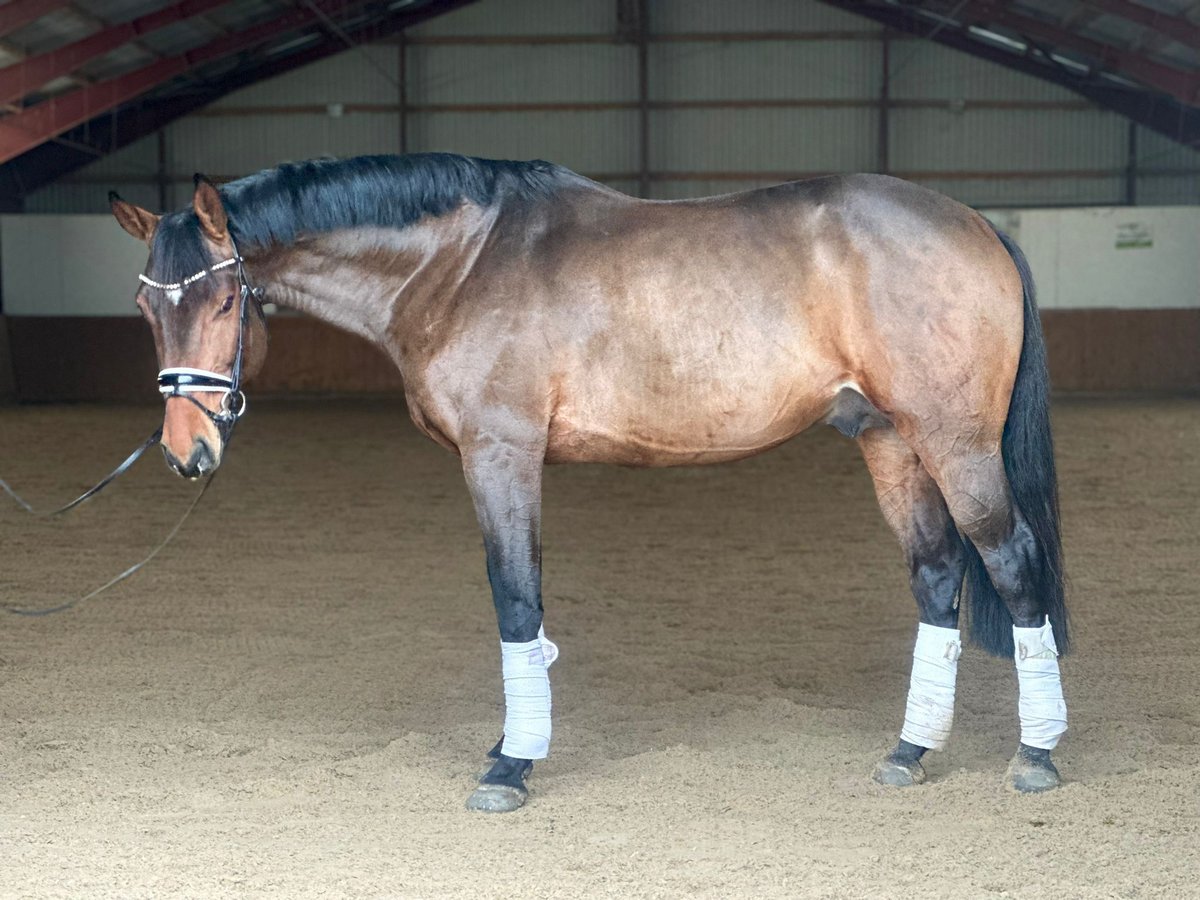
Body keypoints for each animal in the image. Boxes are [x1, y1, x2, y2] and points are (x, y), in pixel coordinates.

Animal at [110, 151, 1070, 816]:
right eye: (146, 306)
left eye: (224, 301)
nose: (187, 451)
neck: (459, 262)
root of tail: (976, 224)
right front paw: (510, 743)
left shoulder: (500, 454)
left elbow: (514, 596)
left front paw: (509, 765)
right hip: (889, 441)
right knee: (937, 576)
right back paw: (909, 752)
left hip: (954, 444)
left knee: (1015, 565)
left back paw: (1037, 756)